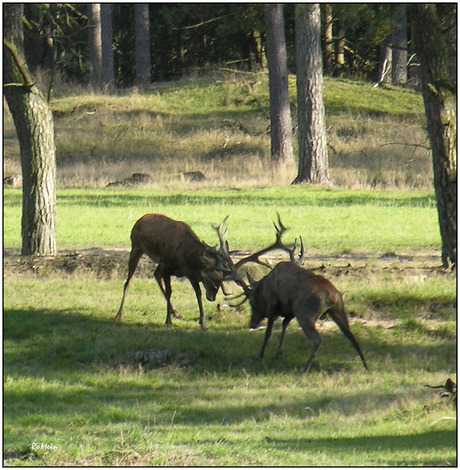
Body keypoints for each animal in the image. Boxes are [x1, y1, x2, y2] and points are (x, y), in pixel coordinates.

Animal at [217, 216, 368, 374]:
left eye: (252, 303)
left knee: (318, 339)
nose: (252, 324)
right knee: (352, 337)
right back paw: (365, 365)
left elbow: (268, 332)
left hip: (306, 313)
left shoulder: (273, 304)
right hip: (339, 310)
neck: (265, 285)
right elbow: (284, 325)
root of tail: (332, 297)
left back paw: (304, 370)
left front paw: (260, 355)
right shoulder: (290, 310)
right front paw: (279, 353)